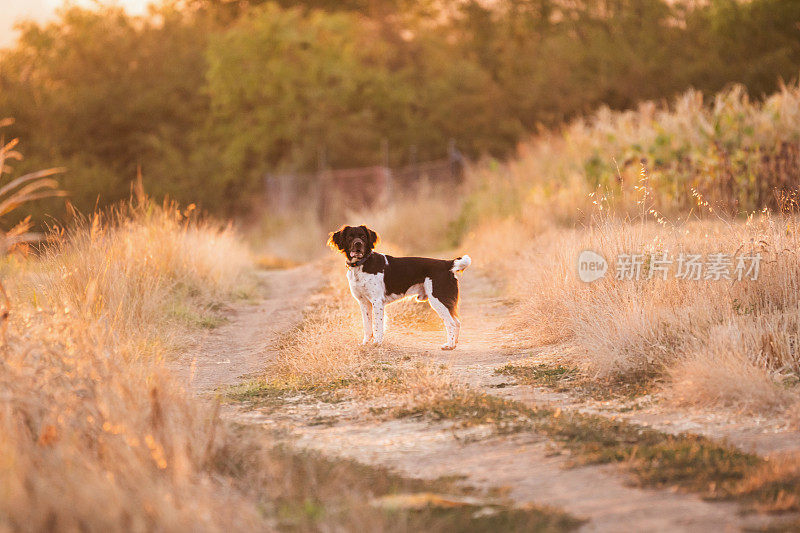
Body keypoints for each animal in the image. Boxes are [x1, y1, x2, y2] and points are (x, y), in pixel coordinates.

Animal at [328, 224, 472, 350]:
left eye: (363, 236)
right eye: (350, 237)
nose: (358, 244)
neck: (362, 264)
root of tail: (447, 264)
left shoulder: (377, 301)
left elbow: (378, 325)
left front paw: (377, 343)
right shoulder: (364, 302)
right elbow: (367, 326)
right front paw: (365, 343)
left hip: (439, 299)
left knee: (451, 323)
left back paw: (449, 345)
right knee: (457, 322)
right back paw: (454, 343)